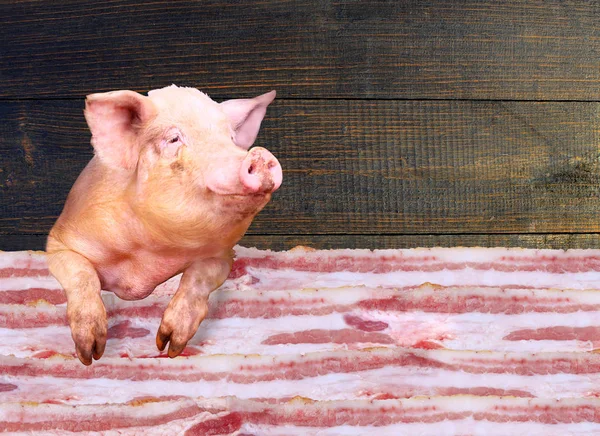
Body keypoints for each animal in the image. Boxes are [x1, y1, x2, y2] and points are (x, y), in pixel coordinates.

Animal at [46, 85, 282, 364]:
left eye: (231, 138)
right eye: (173, 139)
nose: (260, 154)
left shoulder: (222, 255)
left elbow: (199, 278)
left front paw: (169, 349)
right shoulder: (60, 240)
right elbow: (82, 275)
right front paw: (89, 355)